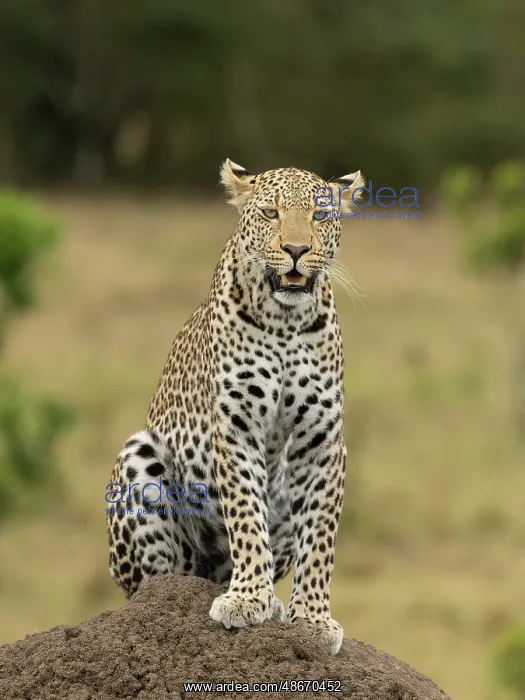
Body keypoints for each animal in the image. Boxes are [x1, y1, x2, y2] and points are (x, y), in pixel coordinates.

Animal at [105, 159, 364, 655]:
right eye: (270, 212)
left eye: (320, 216)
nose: (296, 249)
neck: (286, 321)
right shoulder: (236, 426)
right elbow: (245, 514)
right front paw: (246, 599)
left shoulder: (321, 440)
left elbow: (320, 536)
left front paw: (313, 619)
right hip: (140, 459)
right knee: (158, 581)